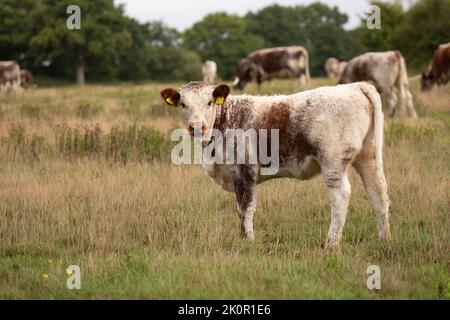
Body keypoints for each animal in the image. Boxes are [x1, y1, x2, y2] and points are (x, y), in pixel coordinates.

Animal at [162, 79, 390, 248]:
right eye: (183, 104)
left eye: (209, 102)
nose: (196, 126)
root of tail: (355, 85)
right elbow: (240, 209)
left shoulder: (245, 173)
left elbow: (245, 208)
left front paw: (248, 240)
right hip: (367, 156)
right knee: (377, 191)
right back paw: (383, 238)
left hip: (333, 160)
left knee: (340, 196)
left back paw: (331, 244)